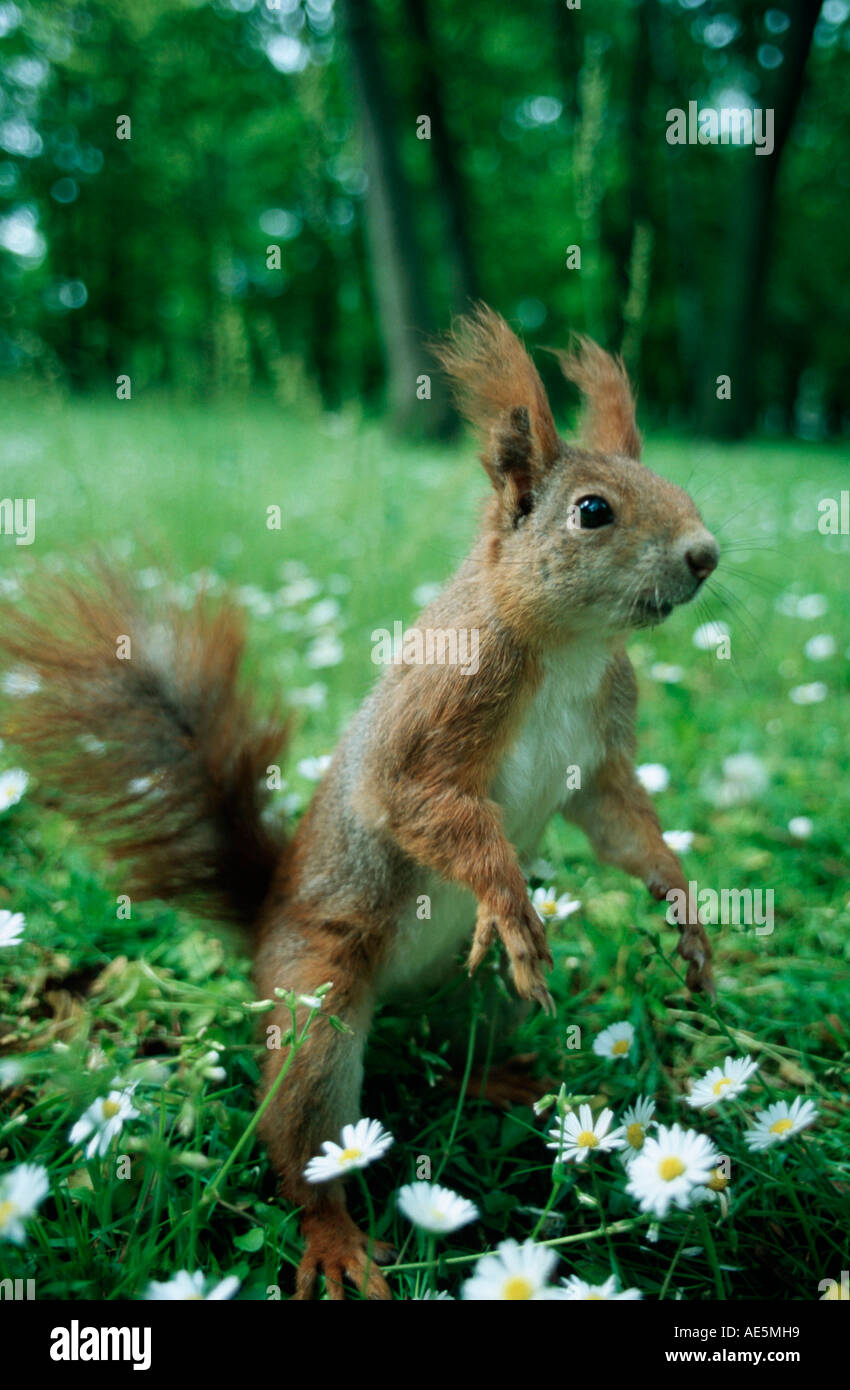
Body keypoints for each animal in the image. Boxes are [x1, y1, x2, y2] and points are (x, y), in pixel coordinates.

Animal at [0, 307, 716, 1301]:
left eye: (678, 485)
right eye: (593, 511)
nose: (705, 555)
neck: (571, 647)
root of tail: (265, 924)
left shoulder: (603, 754)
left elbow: (624, 828)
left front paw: (684, 908)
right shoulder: (434, 714)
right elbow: (417, 801)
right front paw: (506, 895)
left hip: (476, 990)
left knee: (460, 1050)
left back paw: (503, 1078)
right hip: (319, 1003)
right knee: (307, 1143)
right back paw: (335, 1238)